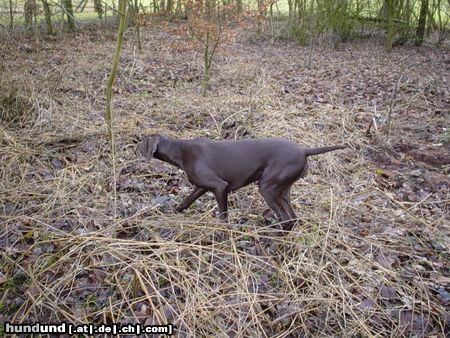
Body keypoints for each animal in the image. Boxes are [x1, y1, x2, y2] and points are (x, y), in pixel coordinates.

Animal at [139, 133, 346, 231]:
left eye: (141, 142)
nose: (135, 148)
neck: (181, 151)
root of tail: (304, 150)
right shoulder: (201, 187)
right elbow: (185, 202)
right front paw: (170, 213)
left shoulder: (219, 187)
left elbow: (223, 216)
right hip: (282, 190)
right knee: (293, 218)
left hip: (267, 188)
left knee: (286, 219)